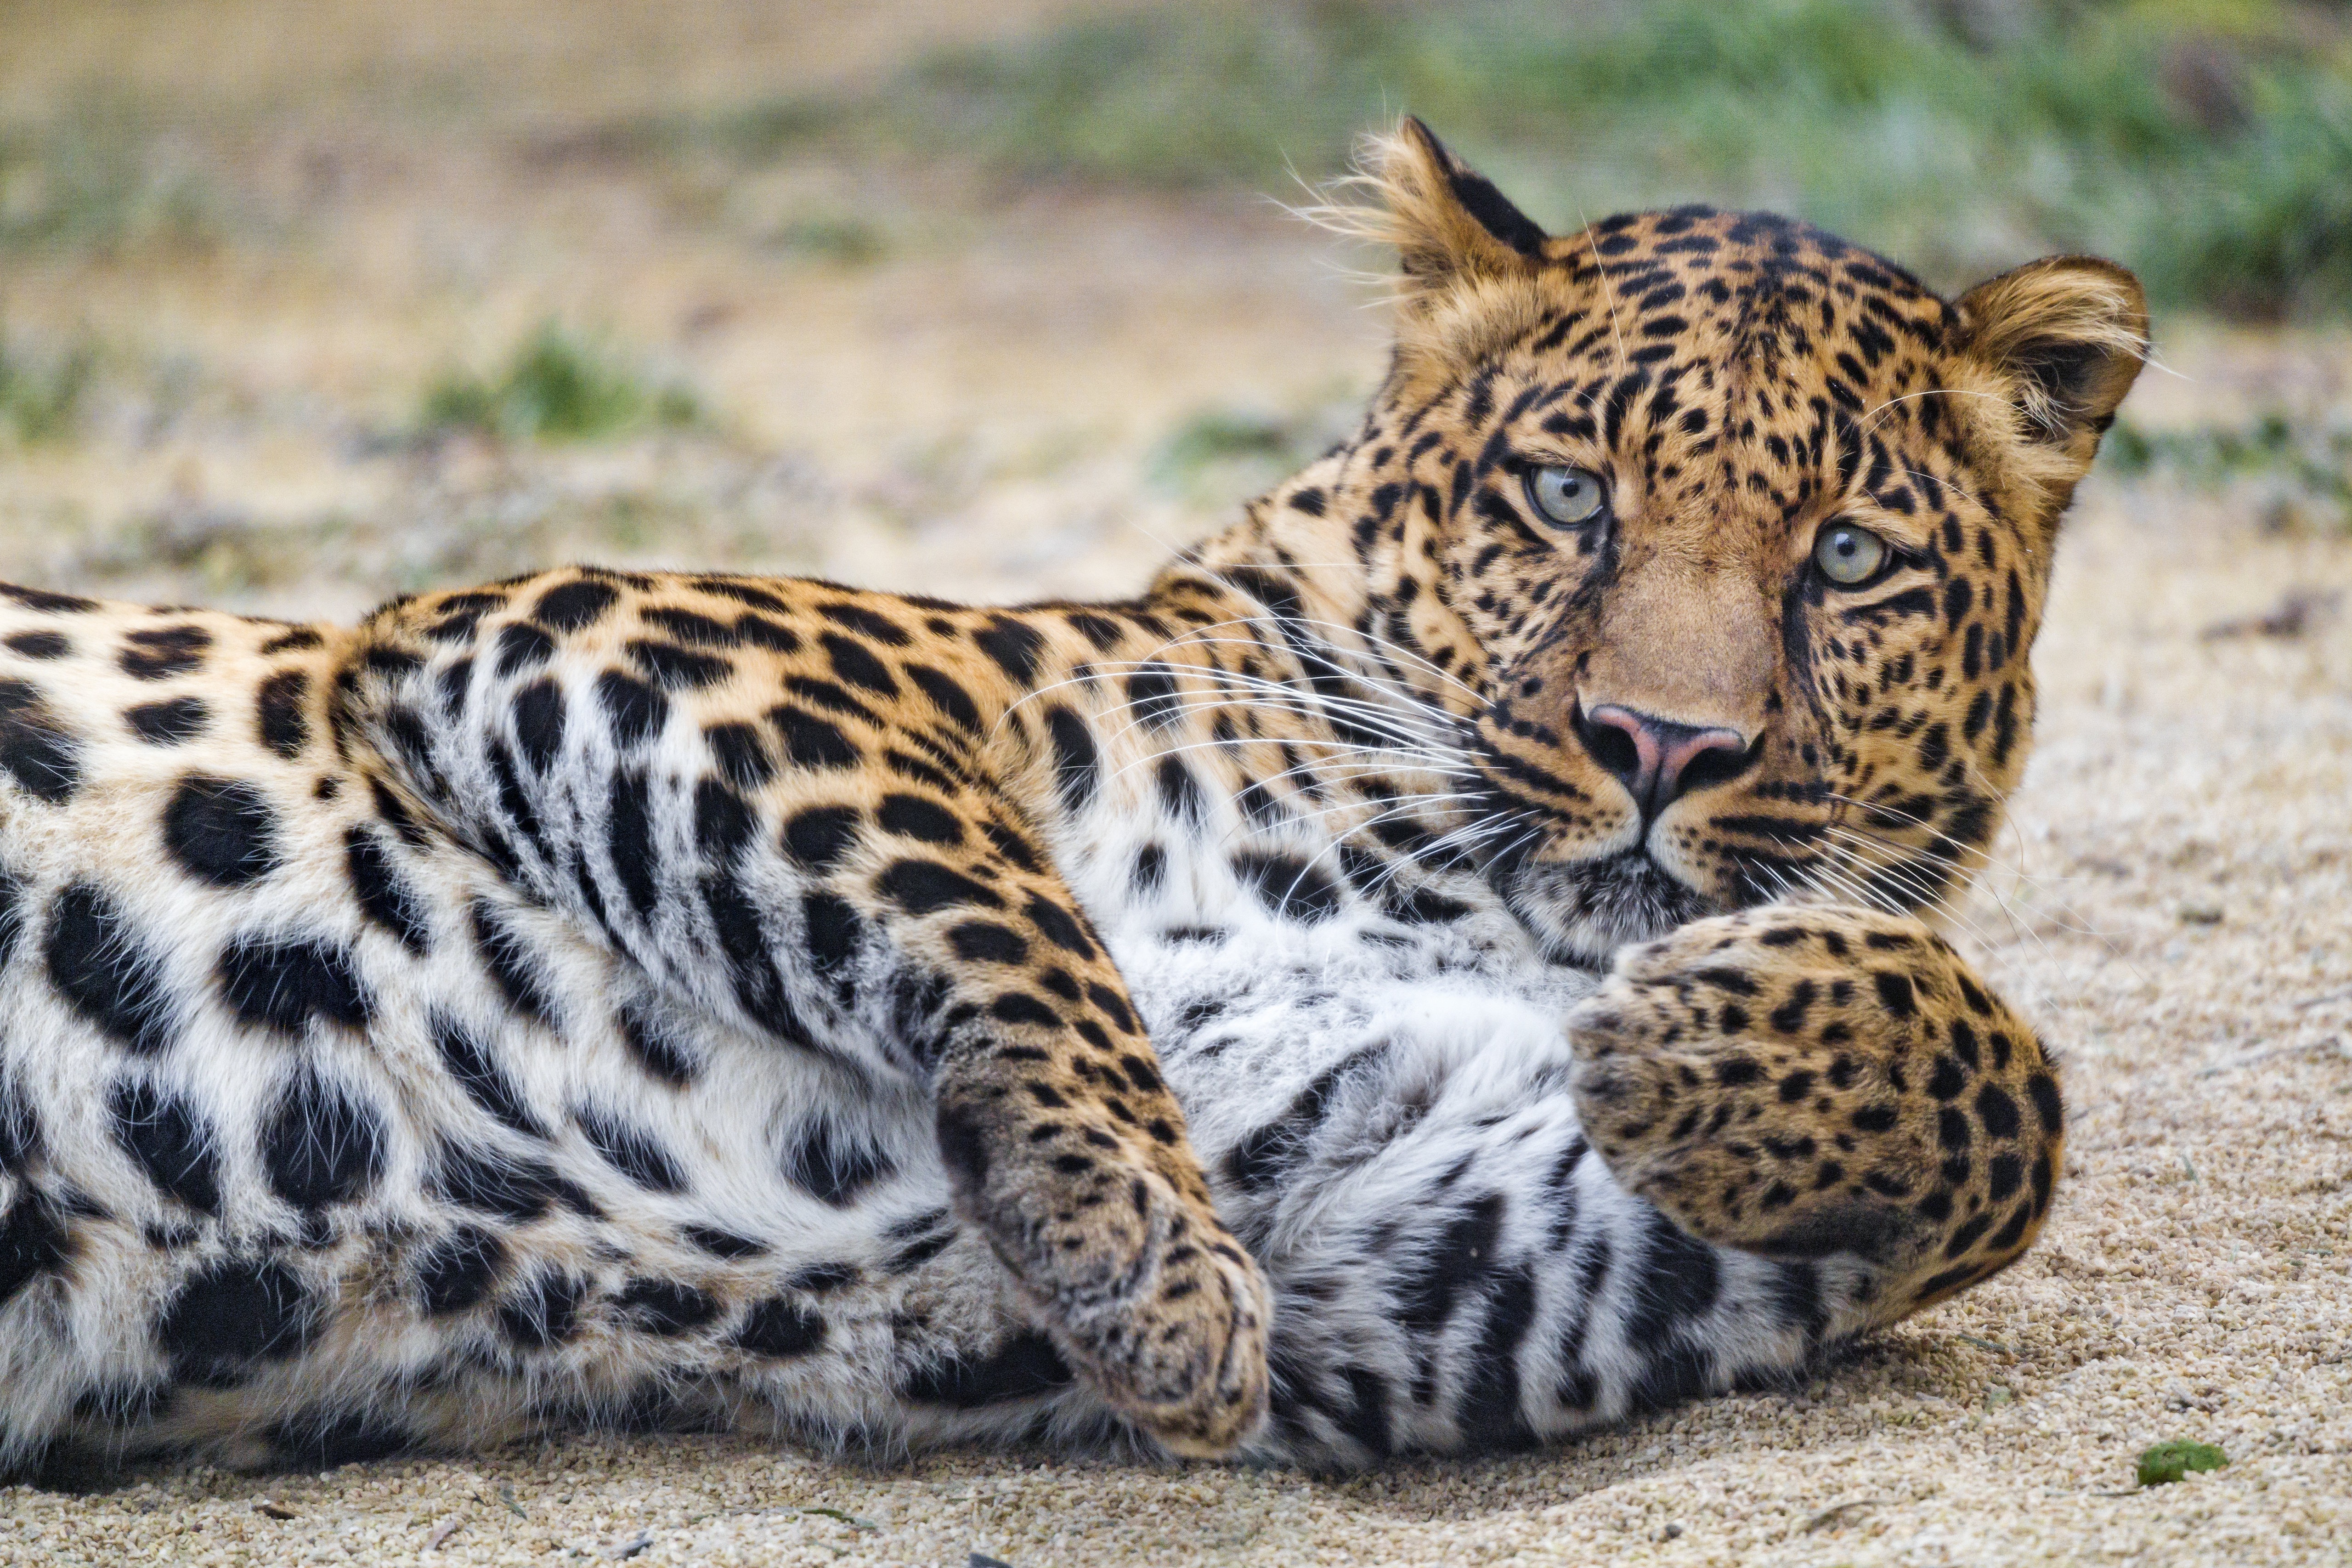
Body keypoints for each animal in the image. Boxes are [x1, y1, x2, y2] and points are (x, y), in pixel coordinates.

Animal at [0, 119, 2154, 1476]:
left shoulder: (1379, 1222)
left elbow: (2019, 1118)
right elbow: (1002, 907)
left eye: (1845, 557)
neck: (1443, 892)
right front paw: (1144, 1262)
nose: (1658, 746)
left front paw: (1705, 1039)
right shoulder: (619, 632)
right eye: (1565, 496)